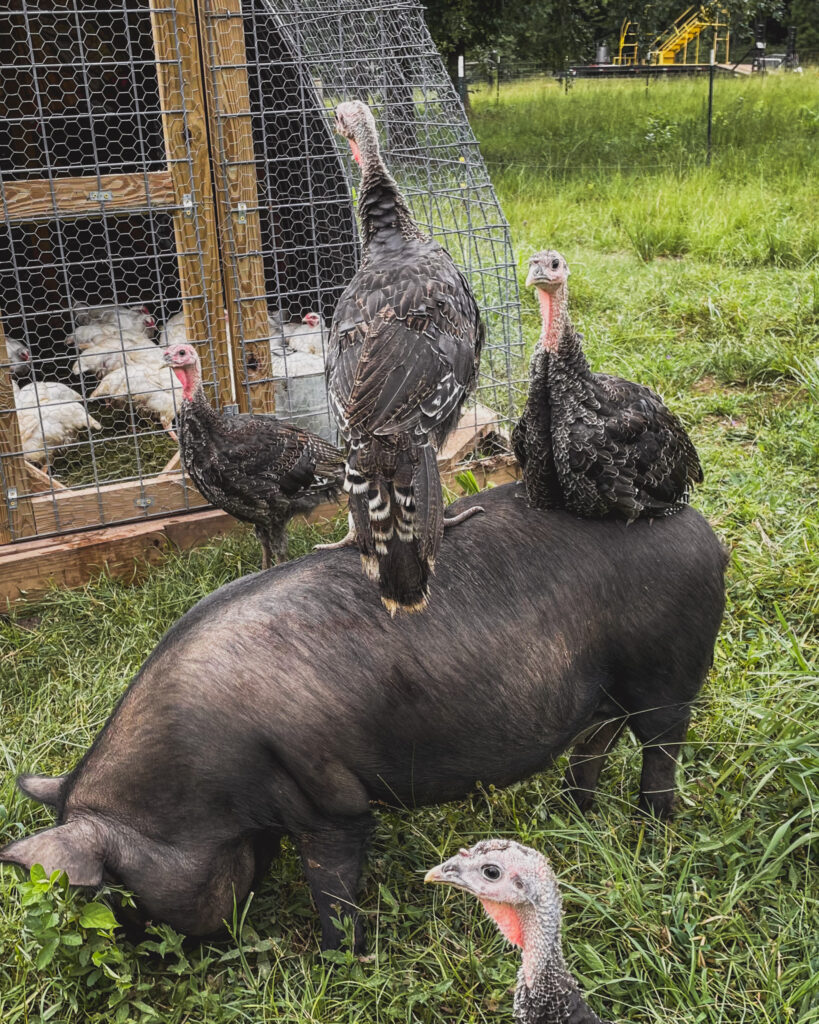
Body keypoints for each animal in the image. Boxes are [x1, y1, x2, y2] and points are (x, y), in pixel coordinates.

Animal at [1, 487, 728, 950]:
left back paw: (652, 830)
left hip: (668, 672)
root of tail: (702, 529)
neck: (199, 790)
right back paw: (576, 816)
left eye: (112, 892)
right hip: (604, 691)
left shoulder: (330, 798)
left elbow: (332, 883)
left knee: (661, 747)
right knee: (595, 743)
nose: (139, 953)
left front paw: (341, 958)